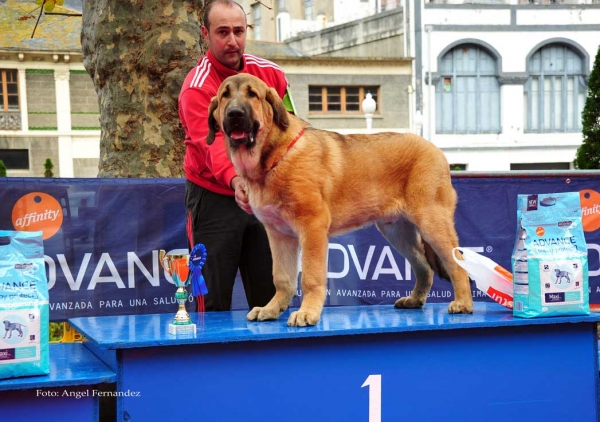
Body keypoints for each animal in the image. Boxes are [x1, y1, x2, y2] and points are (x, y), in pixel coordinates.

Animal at [207, 74, 474, 328]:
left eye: (252, 94)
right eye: (224, 96)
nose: (234, 113)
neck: (274, 156)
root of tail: (436, 150)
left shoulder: (312, 227)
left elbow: (310, 277)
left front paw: (307, 312)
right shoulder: (279, 235)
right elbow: (282, 277)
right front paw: (272, 309)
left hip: (431, 222)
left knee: (457, 263)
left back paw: (462, 303)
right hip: (397, 231)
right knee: (424, 267)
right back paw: (415, 300)